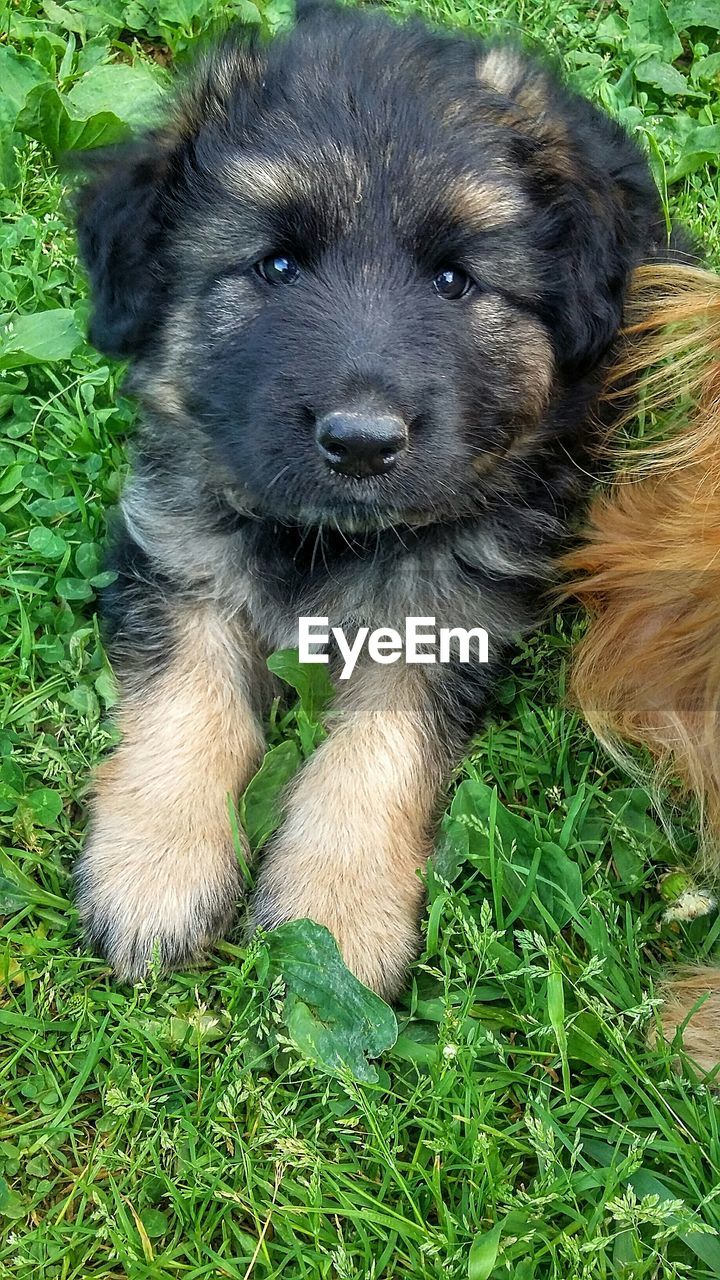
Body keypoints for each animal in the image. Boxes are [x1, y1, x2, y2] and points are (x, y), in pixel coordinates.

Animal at [75, 0, 676, 993]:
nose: (361, 443)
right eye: (277, 266)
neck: (325, 540)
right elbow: (187, 700)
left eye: (454, 279)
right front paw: (155, 868)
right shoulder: (178, 546)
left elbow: (376, 754)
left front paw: (337, 912)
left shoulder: (447, 612)